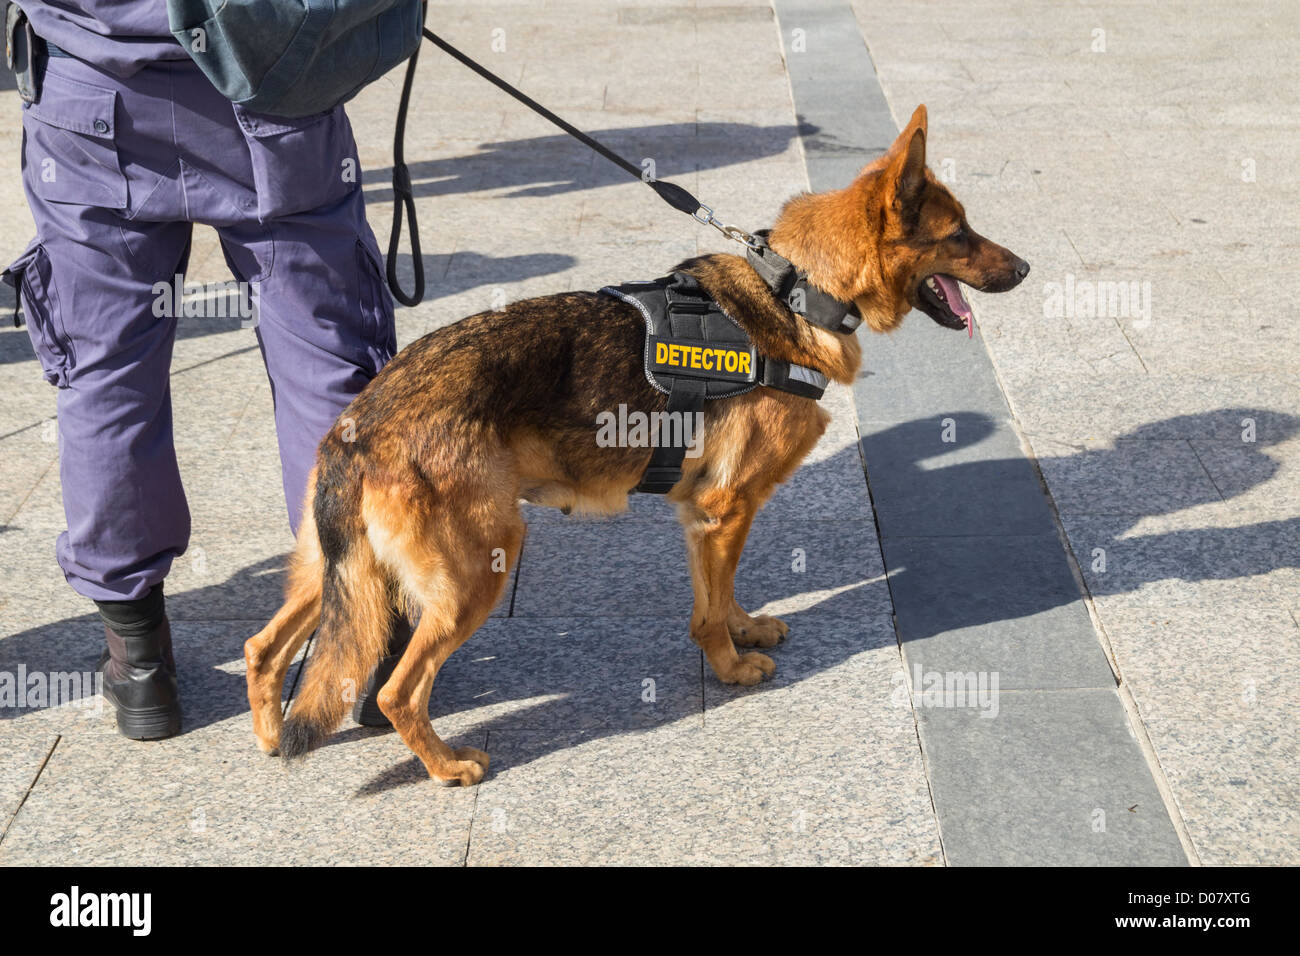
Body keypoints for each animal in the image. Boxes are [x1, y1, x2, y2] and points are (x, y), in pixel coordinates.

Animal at [244, 108, 1029, 790]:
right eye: (960, 234)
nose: (1024, 268)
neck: (797, 292)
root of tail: (361, 423)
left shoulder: (710, 517)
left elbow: (724, 588)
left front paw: (743, 630)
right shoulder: (724, 506)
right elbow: (708, 610)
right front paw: (730, 668)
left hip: (338, 575)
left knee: (264, 648)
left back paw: (269, 737)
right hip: (478, 566)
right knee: (399, 692)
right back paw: (446, 765)